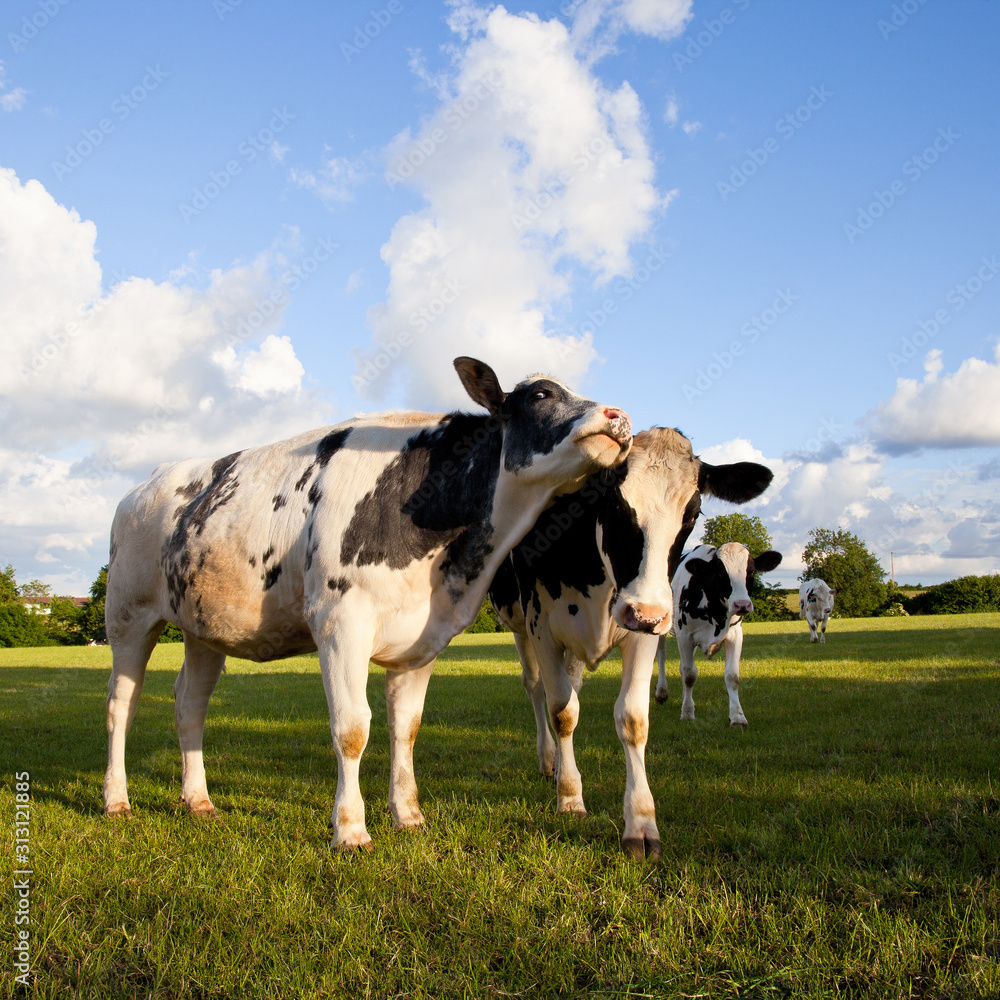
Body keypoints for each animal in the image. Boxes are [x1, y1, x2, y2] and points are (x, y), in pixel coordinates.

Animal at [103, 356, 632, 848]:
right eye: (541, 393)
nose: (620, 416)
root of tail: (148, 482)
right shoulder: (340, 622)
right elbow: (352, 728)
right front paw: (350, 829)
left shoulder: (423, 639)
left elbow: (406, 728)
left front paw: (409, 815)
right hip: (128, 615)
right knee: (120, 704)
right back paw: (116, 800)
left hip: (203, 626)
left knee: (190, 704)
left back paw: (198, 800)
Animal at [652, 544, 784, 724]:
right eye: (720, 573)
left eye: (751, 571)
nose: (742, 605)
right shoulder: (685, 635)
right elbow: (690, 674)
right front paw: (687, 713)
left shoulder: (735, 635)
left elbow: (732, 676)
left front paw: (737, 716)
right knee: (662, 656)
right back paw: (661, 693)